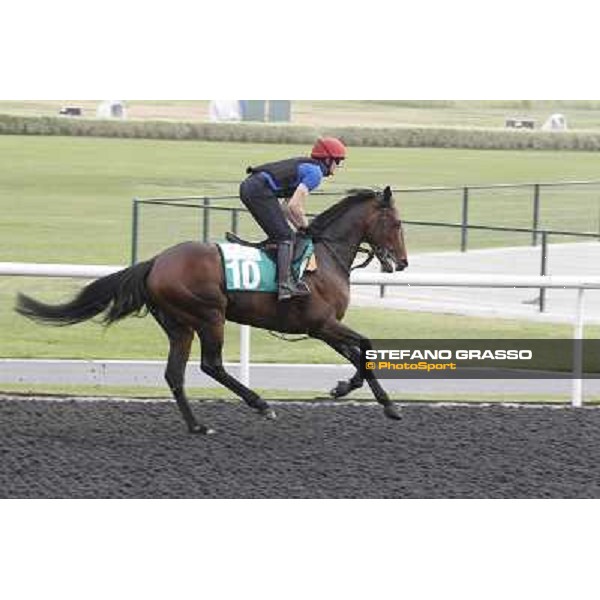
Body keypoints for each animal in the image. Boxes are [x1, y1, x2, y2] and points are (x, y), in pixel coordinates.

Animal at [15, 185, 408, 434]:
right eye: (397, 223)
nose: (402, 262)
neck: (325, 256)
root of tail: (156, 262)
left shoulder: (322, 327)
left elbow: (359, 354)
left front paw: (363, 394)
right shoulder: (321, 323)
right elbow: (366, 345)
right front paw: (360, 392)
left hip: (179, 325)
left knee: (175, 374)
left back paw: (197, 425)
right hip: (209, 315)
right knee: (211, 364)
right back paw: (260, 404)